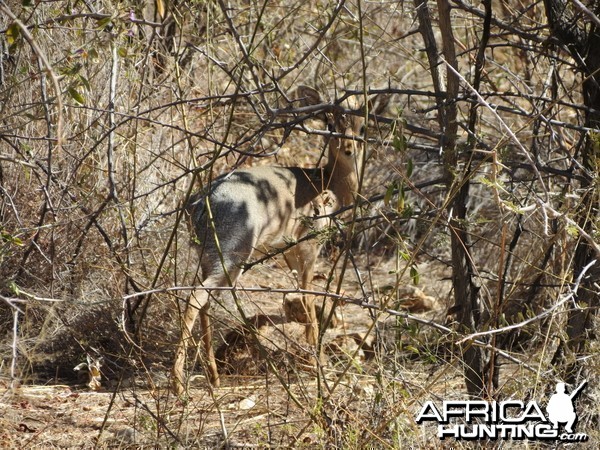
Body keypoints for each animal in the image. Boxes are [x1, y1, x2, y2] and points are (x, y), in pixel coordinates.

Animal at [172, 85, 390, 394]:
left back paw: (213, 377)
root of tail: (201, 203)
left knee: (204, 302)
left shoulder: (287, 251)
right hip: (232, 257)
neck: (325, 183)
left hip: (209, 259)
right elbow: (309, 299)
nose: (349, 149)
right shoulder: (309, 247)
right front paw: (317, 360)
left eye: (363, 125)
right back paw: (178, 384)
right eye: (330, 124)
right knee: (195, 297)